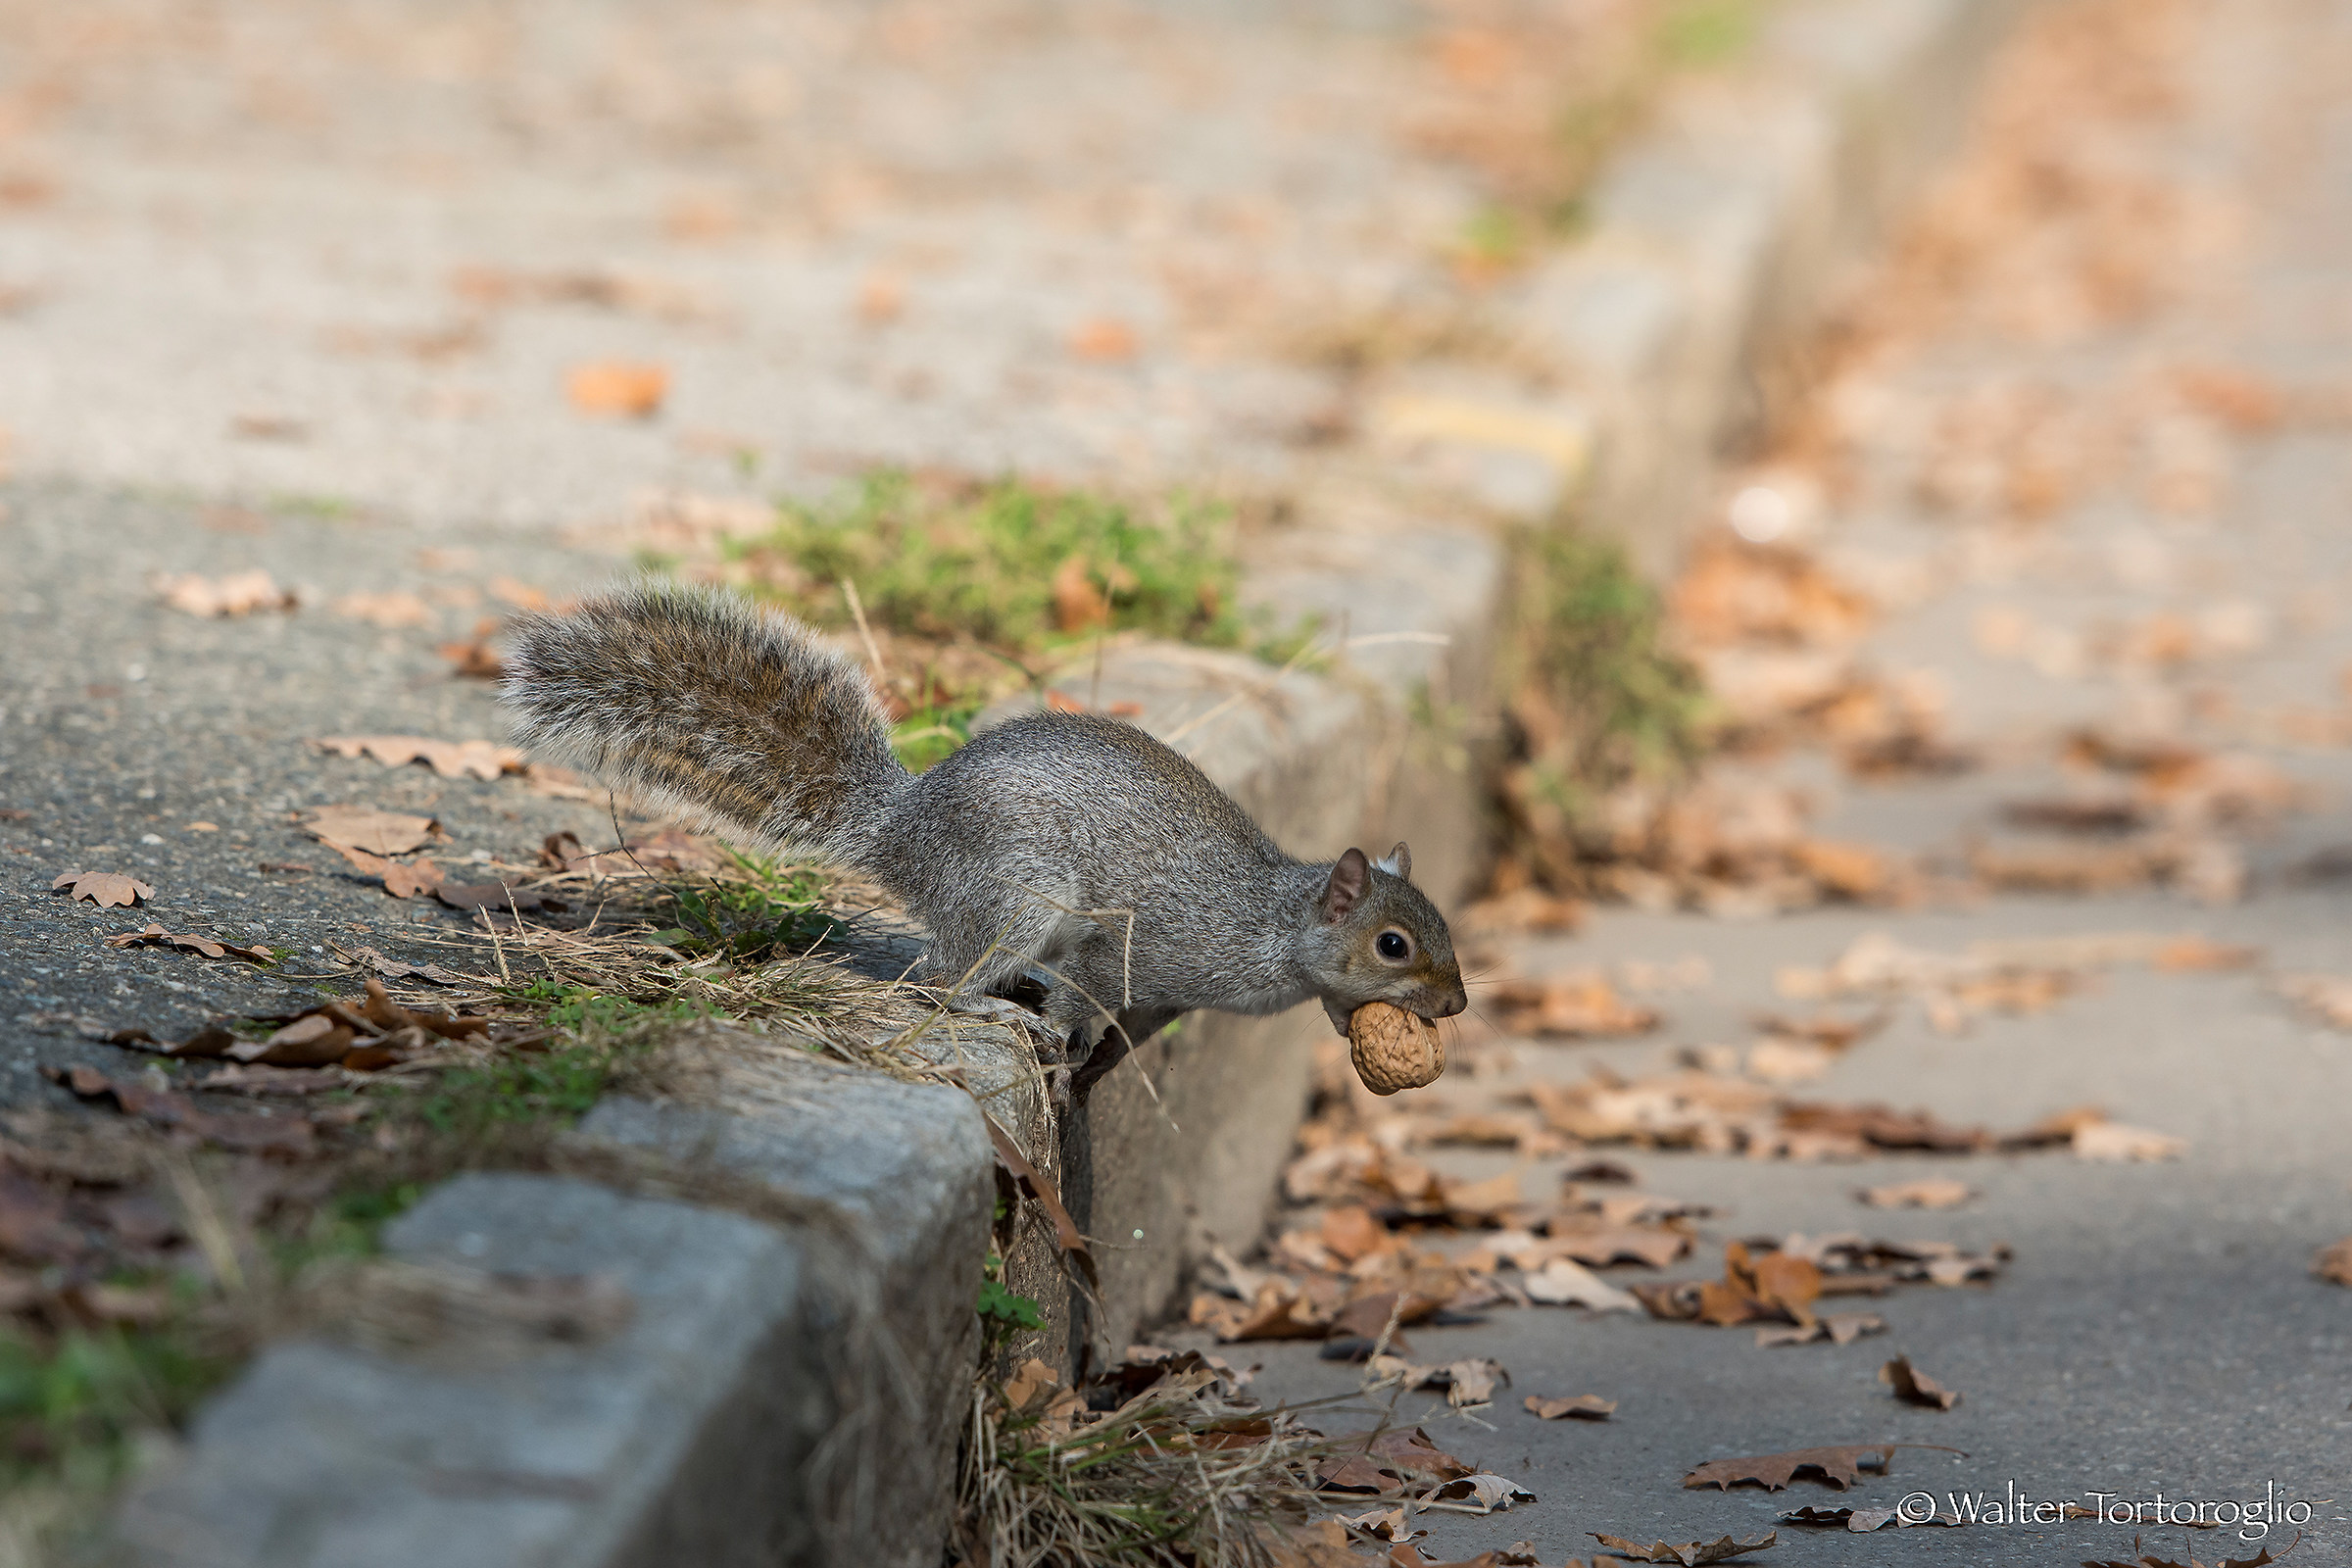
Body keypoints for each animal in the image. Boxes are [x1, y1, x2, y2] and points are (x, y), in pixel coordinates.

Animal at [499, 581, 1467, 1095]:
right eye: (1392, 944)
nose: (1456, 1006)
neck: (1272, 925)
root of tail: (905, 828)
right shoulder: (1142, 944)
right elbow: (1089, 994)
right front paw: (1070, 1052)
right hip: (1016, 895)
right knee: (941, 978)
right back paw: (997, 1006)